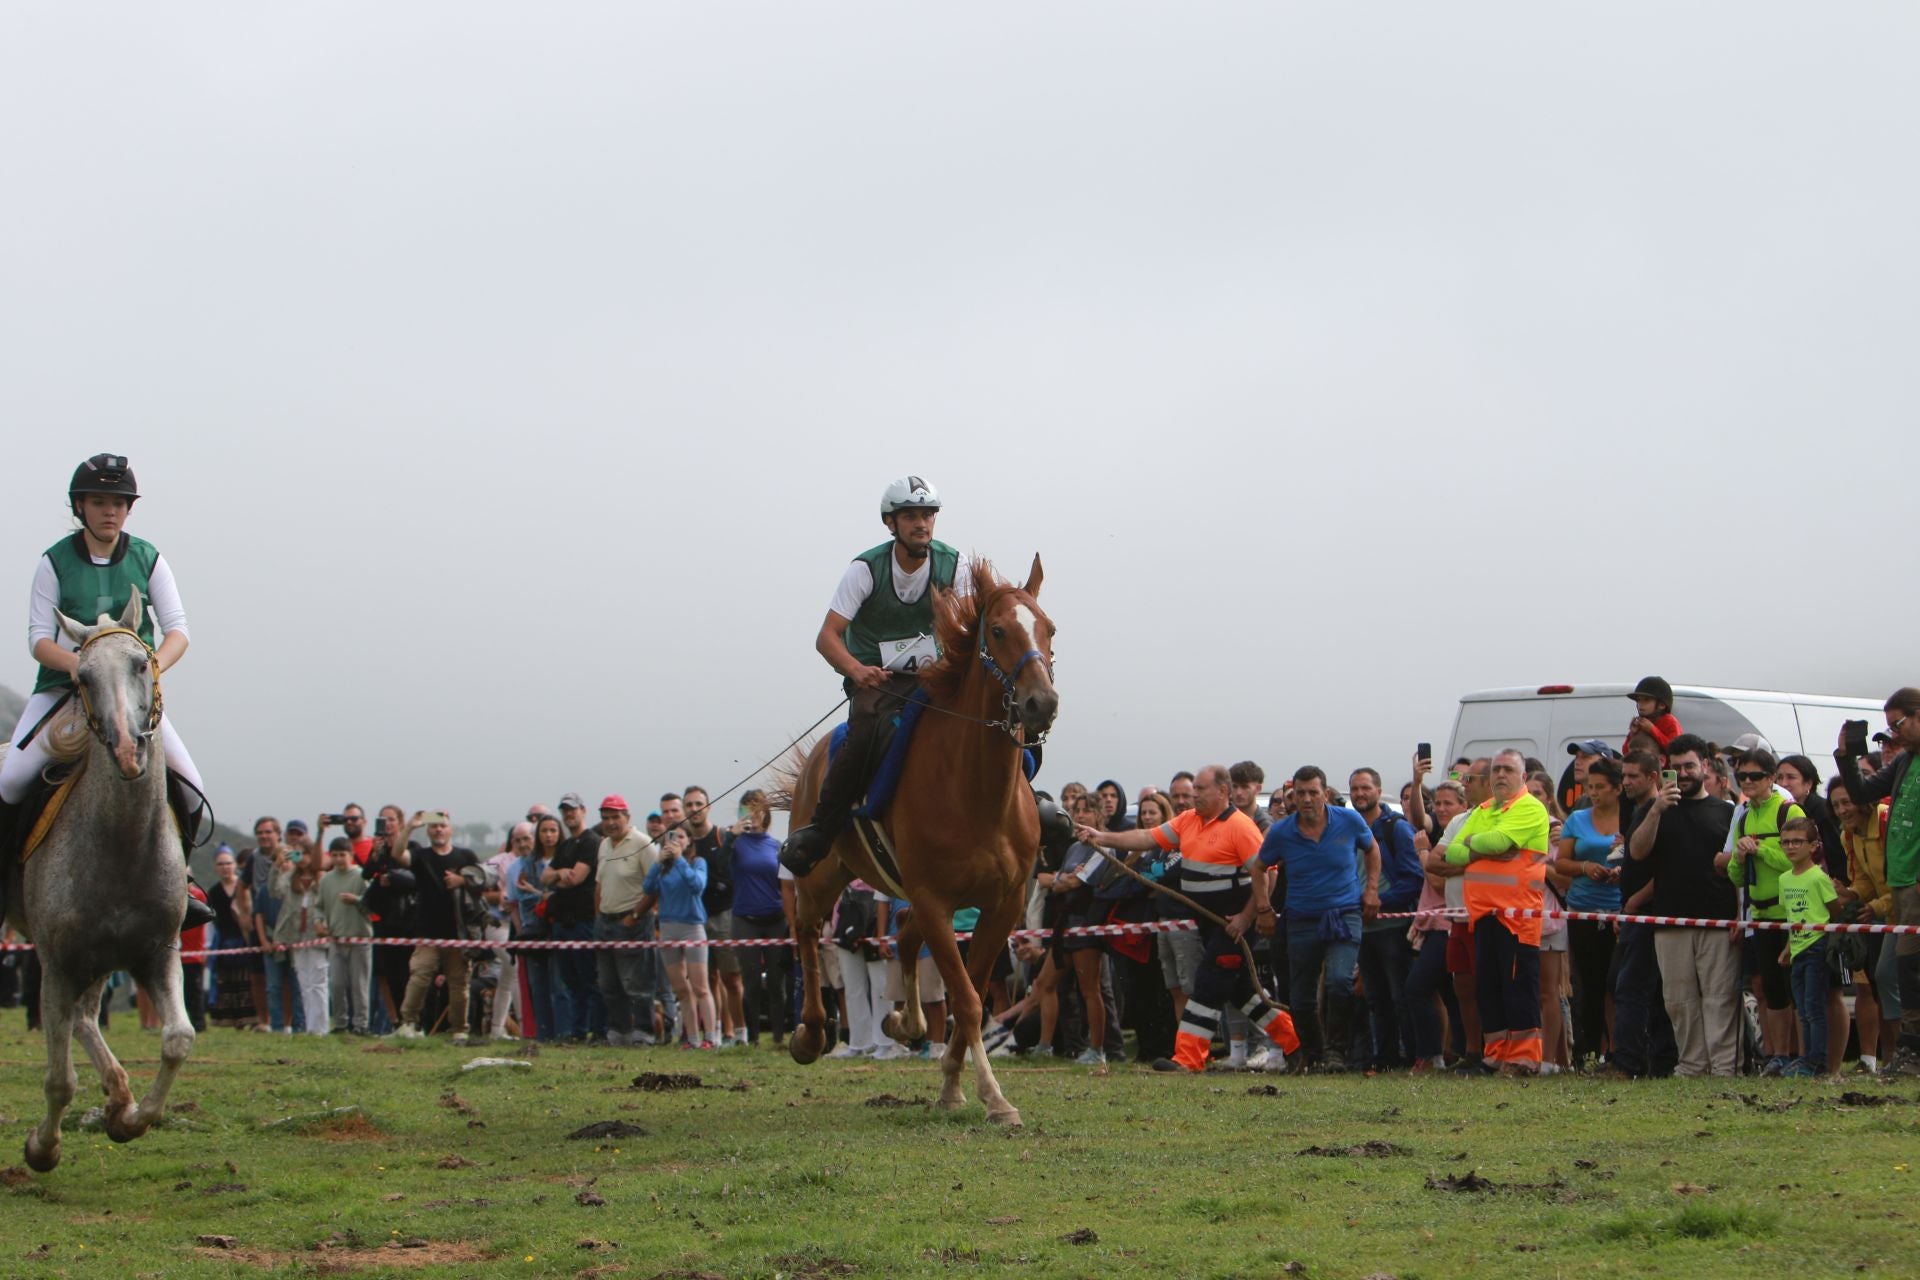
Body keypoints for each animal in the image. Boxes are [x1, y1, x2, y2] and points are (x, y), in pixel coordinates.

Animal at [0, 591, 194, 1174]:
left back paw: (118, 1093)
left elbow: (178, 1040)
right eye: (81, 677)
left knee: (87, 1018)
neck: (121, 846)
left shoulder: (157, 953)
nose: (129, 751)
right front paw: (41, 1149)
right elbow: (59, 1081)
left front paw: (129, 1119)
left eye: (140, 664)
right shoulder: (56, 966)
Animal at [787, 556, 1059, 1128]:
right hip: (823, 875)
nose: (1040, 703)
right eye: (997, 630)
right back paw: (811, 1034)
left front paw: (953, 1085)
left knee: (903, 937)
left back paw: (903, 1024)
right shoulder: (936, 900)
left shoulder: (1002, 904)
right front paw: (993, 1097)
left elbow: (969, 992)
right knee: (806, 930)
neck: (976, 791)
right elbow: (969, 999)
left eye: (1049, 628)